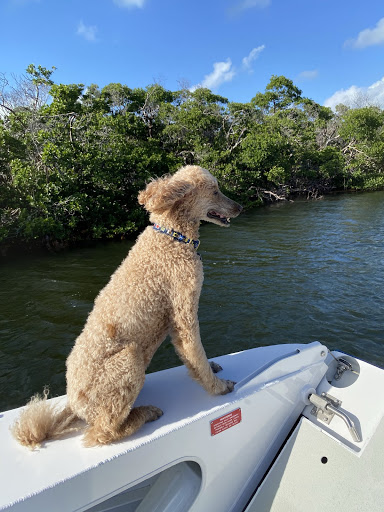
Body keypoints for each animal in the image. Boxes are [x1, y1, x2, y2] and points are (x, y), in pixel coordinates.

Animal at [13, 165, 244, 448]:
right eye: (214, 190)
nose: (240, 207)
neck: (174, 238)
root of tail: (75, 406)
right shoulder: (183, 312)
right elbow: (194, 351)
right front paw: (218, 387)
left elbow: (196, 357)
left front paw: (212, 369)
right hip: (128, 359)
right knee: (102, 433)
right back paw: (144, 414)